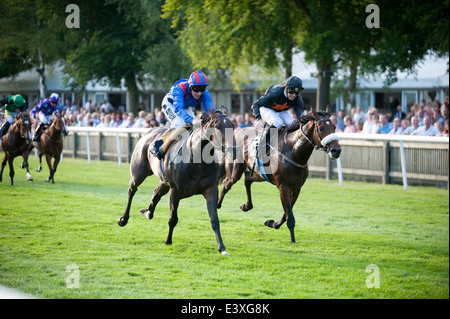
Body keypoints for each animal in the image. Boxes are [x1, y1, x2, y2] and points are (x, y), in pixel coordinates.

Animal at [118, 111, 239, 256]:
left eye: (232, 126)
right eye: (217, 127)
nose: (234, 150)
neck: (196, 159)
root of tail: (149, 132)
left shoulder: (211, 190)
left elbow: (214, 220)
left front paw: (222, 248)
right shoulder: (175, 191)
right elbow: (173, 219)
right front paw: (168, 240)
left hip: (164, 182)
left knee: (155, 194)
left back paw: (147, 212)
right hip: (138, 173)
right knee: (132, 190)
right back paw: (123, 219)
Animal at [218, 109, 342, 244]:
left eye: (334, 127)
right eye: (321, 128)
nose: (336, 150)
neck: (293, 152)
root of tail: (237, 131)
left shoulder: (297, 188)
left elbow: (286, 213)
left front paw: (272, 223)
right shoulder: (283, 186)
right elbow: (289, 215)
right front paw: (293, 239)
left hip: (259, 174)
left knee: (247, 179)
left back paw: (246, 206)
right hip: (235, 171)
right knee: (226, 184)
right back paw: (217, 205)